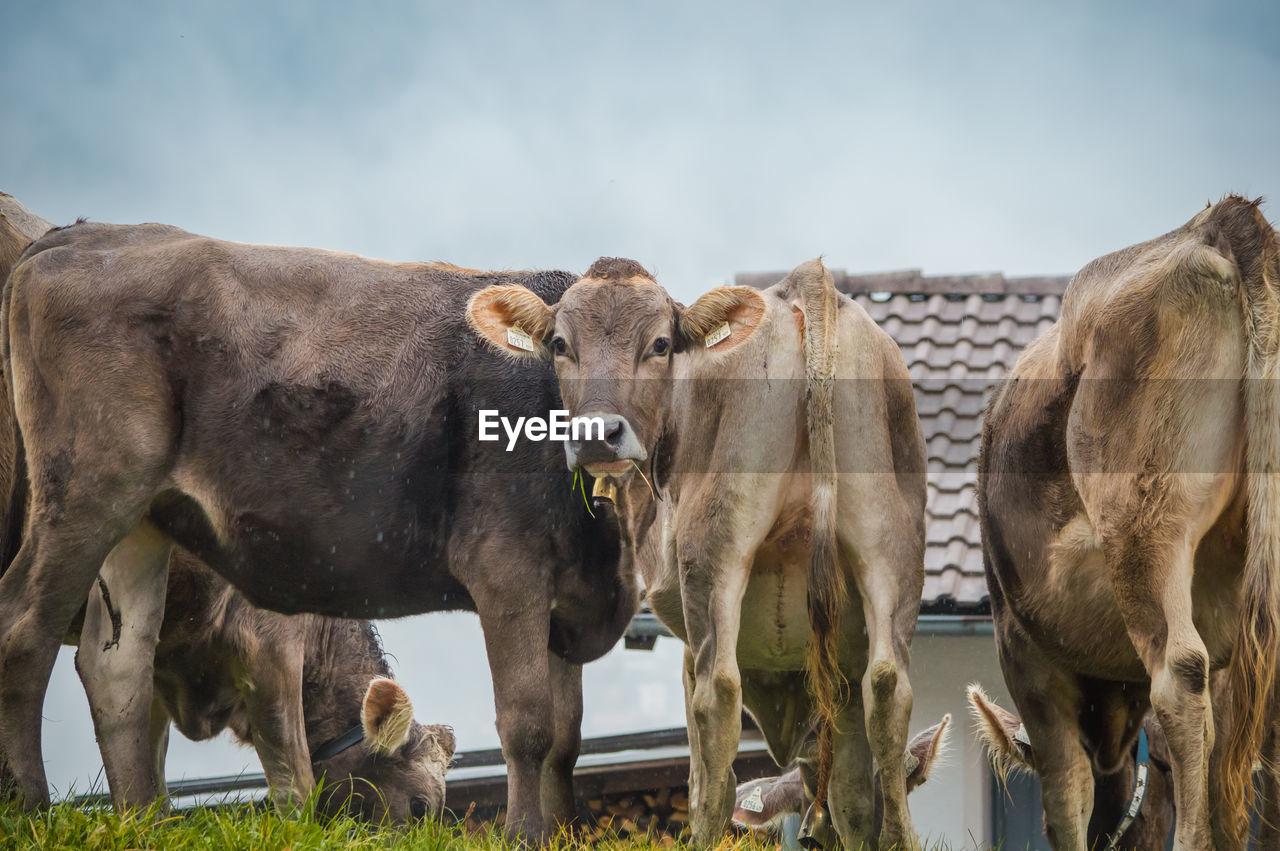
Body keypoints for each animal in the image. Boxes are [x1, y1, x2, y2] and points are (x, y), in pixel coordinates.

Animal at [0, 220, 637, 844]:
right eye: (421, 809)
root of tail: (78, 234)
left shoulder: (569, 597)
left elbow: (565, 740)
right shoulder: (504, 572)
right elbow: (525, 724)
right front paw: (525, 835)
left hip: (142, 521)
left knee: (118, 664)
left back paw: (143, 822)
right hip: (88, 487)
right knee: (23, 628)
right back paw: (31, 808)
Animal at [465, 258, 926, 849]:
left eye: (660, 344)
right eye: (561, 344)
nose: (596, 435)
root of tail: (804, 284)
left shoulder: (685, 637)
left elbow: (704, 767)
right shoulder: (841, 667)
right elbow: (851, 795)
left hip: (715, 550)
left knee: (719, 697)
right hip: (890, 546)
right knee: (888, 690)